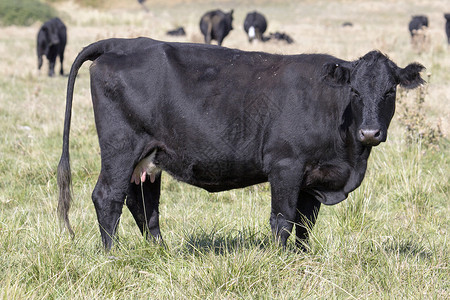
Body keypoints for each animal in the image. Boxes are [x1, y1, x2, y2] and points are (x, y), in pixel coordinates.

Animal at [57, 37, 426, 251]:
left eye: (390, 91)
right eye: (355, 91)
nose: (370, 133)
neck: (349, 158)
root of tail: (124, 42)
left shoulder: (314, 177)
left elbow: (305, 224)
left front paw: (303, 259)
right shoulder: (285, 165)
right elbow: (282, 219)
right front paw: (280, 262)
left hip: (149, 156)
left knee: (143, 203)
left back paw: (160, 253)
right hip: (120, 147)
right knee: (108, 196)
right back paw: (113, 255)